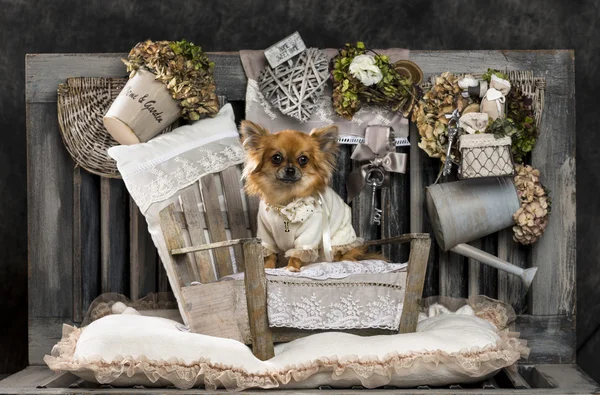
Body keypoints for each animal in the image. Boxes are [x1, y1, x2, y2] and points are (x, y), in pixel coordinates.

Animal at [239, 120, 380, 272]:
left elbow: (298, 253)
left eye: (303, 159)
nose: (290, 169)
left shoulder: (308, 235)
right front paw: (268, 268)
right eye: (276, 158)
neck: (285, 201)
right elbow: (269, 253)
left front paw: (292, 267)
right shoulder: (266, 235)